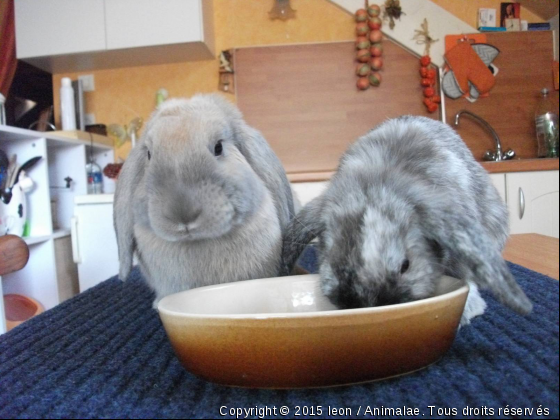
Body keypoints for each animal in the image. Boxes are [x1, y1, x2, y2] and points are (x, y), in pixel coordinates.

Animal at [282, 115, 532, 322]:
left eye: (406, 266)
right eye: (335, 265)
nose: (375, 306)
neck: (377, 182)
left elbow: (466, 280)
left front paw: (467, 310)